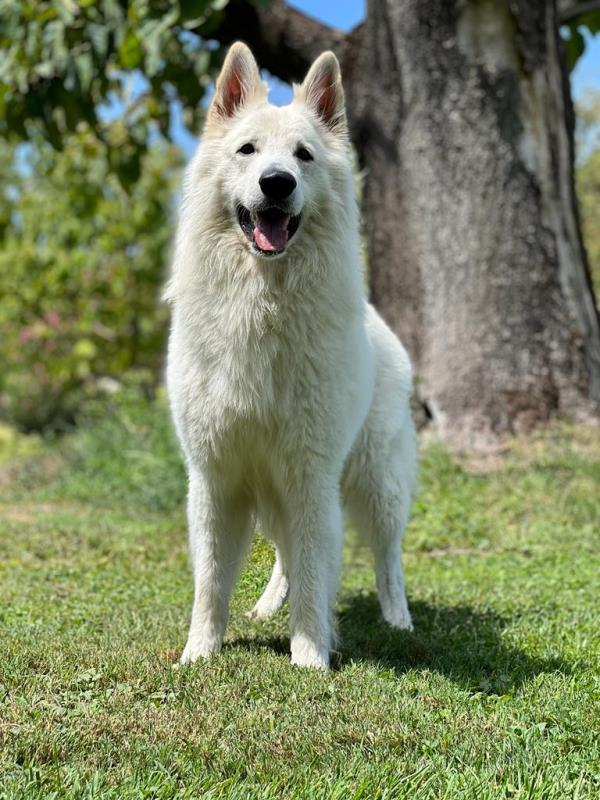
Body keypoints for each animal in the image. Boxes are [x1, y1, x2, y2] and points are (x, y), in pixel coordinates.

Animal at [164, 42, 418, 668]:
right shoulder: (217, 477)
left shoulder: (308, 473)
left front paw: (310, 654)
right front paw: (199, 652)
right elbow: (211, 580)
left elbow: (313, 571)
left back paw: (398, 618)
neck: (264, 301)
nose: (276, 183)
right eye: (247, 150)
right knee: (283, 553)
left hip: (378, 483)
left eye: (304, 155)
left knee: (387, 557)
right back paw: (264, 605)